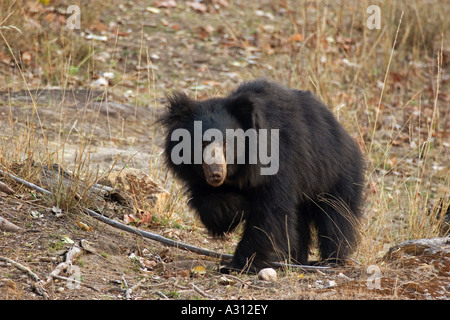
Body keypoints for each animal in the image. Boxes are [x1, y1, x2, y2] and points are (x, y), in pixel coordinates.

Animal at [160, 79, 364, 272]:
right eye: (201, 143)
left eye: (227, 142)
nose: (216, 173)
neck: (237, 171)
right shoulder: (197, 176)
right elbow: (212, 206)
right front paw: (238, 207)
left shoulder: (278, 164)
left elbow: (270, 213)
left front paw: (239, 265)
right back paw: (294, 259)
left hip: (335, 174)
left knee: (336, 217)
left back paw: (330, 260)